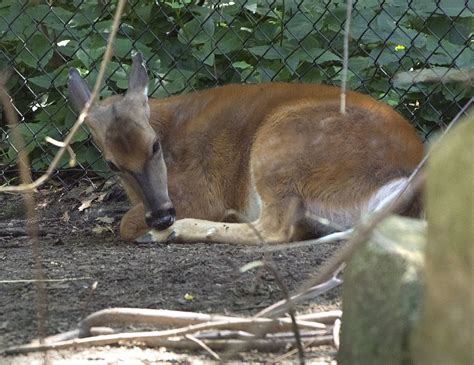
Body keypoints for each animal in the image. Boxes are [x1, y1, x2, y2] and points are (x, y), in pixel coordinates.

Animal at [66, 52, 422, 245]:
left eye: (154, 146)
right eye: (112, 164)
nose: (162, 215)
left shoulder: (200, 193)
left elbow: (126, 223)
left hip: (280, 145)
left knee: (275, 228)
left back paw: (175, 232)